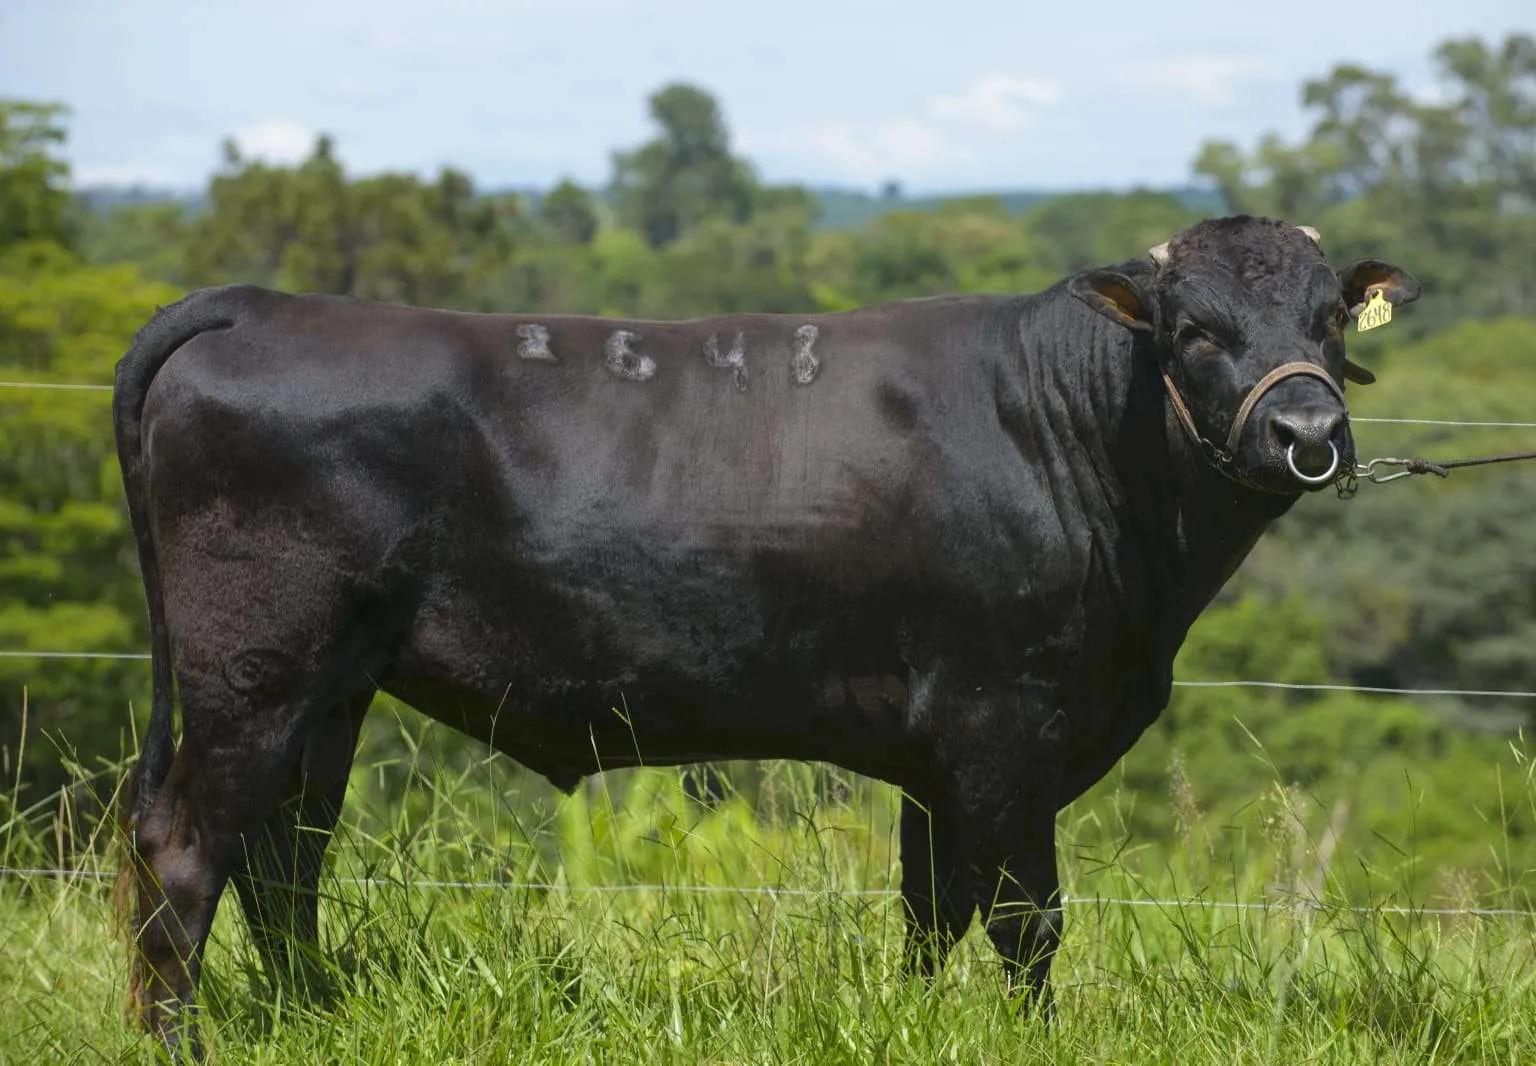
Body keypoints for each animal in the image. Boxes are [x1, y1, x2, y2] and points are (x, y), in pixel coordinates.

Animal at [113, 213, 1419, 1056]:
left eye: (1326, 319)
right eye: (1195, 328)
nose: (1310, 432)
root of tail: (256, 305)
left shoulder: (937, 749)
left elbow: (930, 911)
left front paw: (918, 1027)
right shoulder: (1006, 720)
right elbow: (1023, 916)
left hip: (334, 685)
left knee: (285, 852)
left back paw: (315, 1016)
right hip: (255, 664)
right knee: (187, 845)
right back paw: (184, 1042)